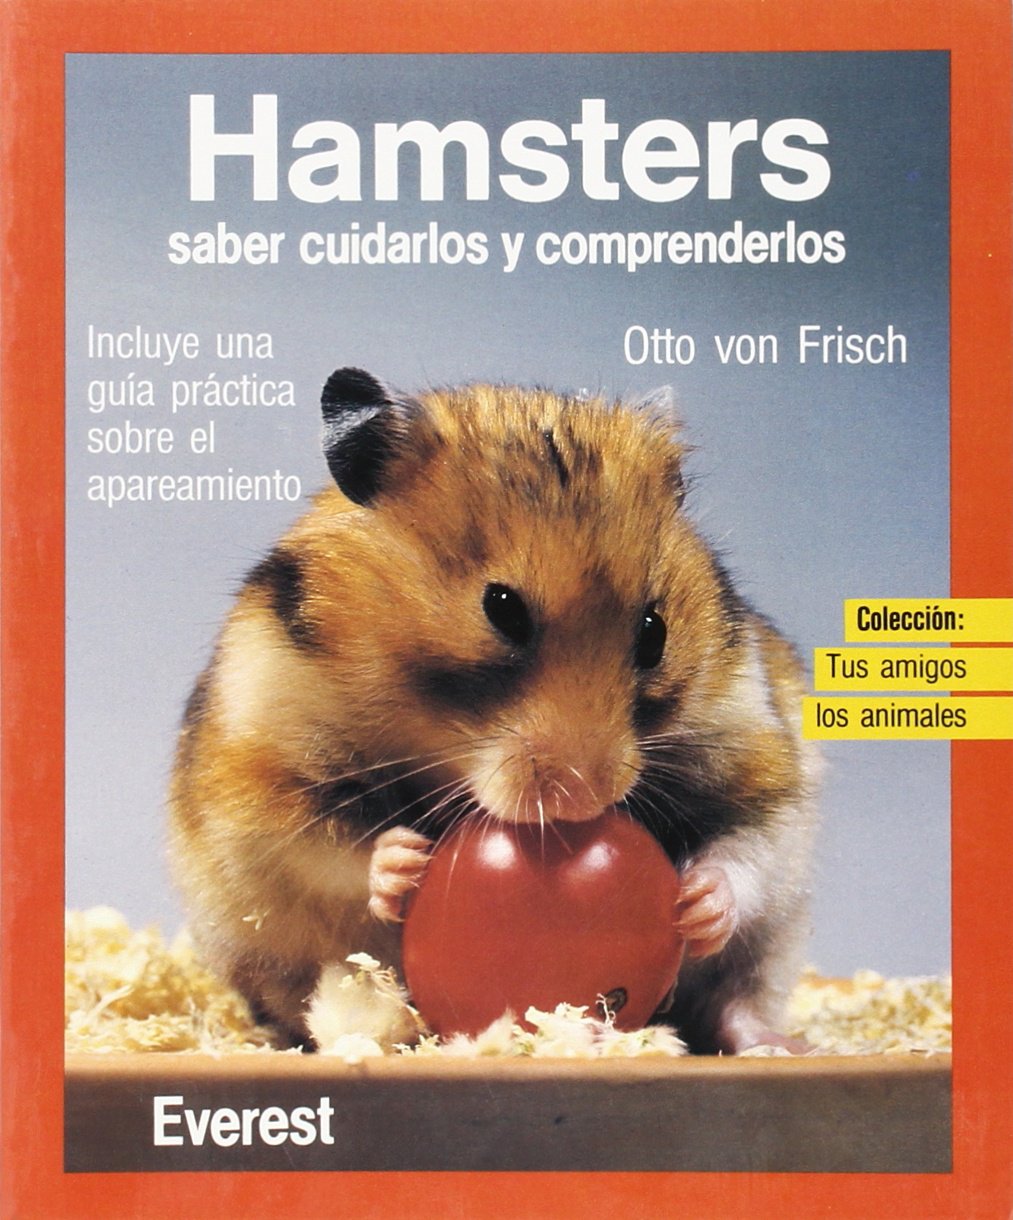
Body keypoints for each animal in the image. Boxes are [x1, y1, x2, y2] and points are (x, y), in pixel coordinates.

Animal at [169, 367, 819, 1053]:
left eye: (655, 631)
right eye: (501, 609)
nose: (585, 801)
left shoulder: (757, 753)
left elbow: (748, 844)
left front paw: (695, 903)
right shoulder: (261, 778)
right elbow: (331, 846)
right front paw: (403, 865)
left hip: (771, 951)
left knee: (737, 999)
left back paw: (774, 1044)